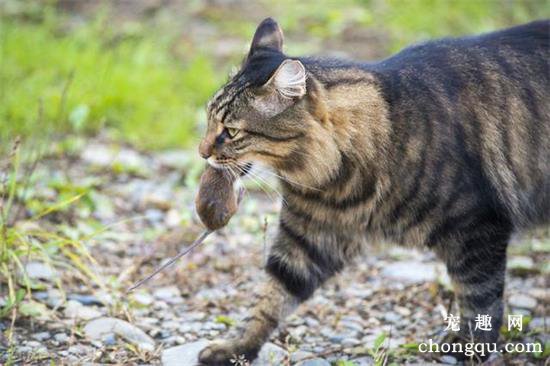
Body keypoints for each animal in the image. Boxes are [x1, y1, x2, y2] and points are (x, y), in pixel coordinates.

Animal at [196, 16, 548, 364]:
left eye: (231, 132)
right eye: (209, 119)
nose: (202, 152)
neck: (334, 177)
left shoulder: (477, 227)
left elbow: (478, 297)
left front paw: (471, 346)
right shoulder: (308, 238)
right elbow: (270, 299)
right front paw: (237, 347)